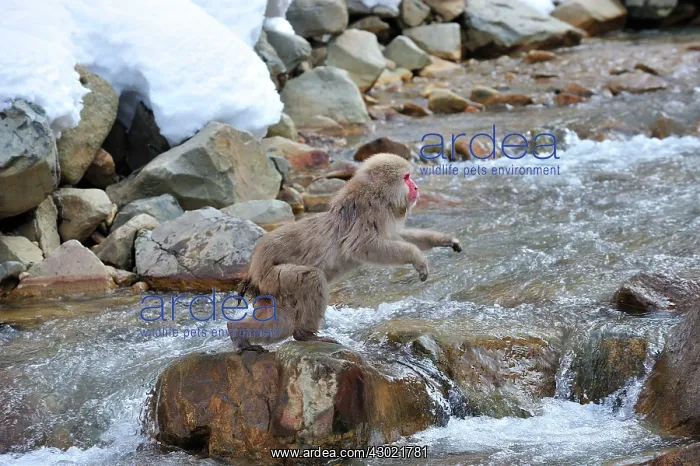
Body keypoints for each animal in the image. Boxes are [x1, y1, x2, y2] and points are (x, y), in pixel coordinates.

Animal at [227, 153, 462, 351]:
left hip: (272, 288)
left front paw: (443, 240)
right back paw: (304, 335)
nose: (415, 187)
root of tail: (254, 266)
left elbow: (396, 237)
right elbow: (361, 247)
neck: (376, 194)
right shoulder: (371, 212)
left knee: (281, 323)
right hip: (275, 276)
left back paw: (239, 332)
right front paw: (417, 258)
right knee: (311, 279)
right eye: (406, 178)